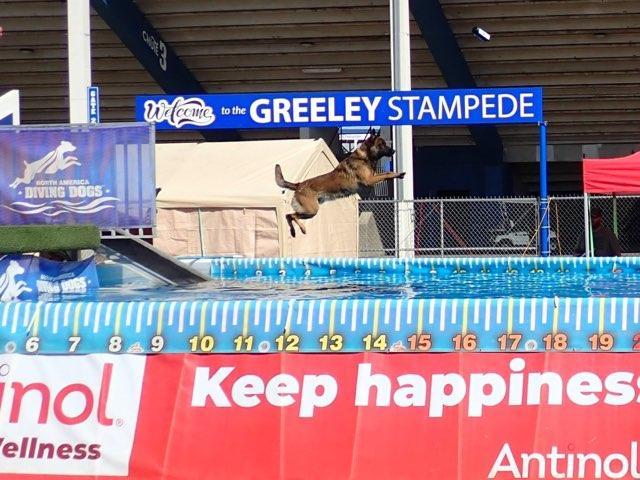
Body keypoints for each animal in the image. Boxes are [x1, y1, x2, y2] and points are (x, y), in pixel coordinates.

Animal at [276, 130, 404, 237]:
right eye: (381, 144)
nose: (394, 151)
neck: (364, 157)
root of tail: (299, 184)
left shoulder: (373, 177)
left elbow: (387, 172)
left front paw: (398, 174)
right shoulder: (369, 180)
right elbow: (387, 174)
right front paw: (398, 174)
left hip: (309, 211)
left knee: (289, 215)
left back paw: (296, 231)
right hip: (311, 210)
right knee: (290, 215)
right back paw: (299, 229)